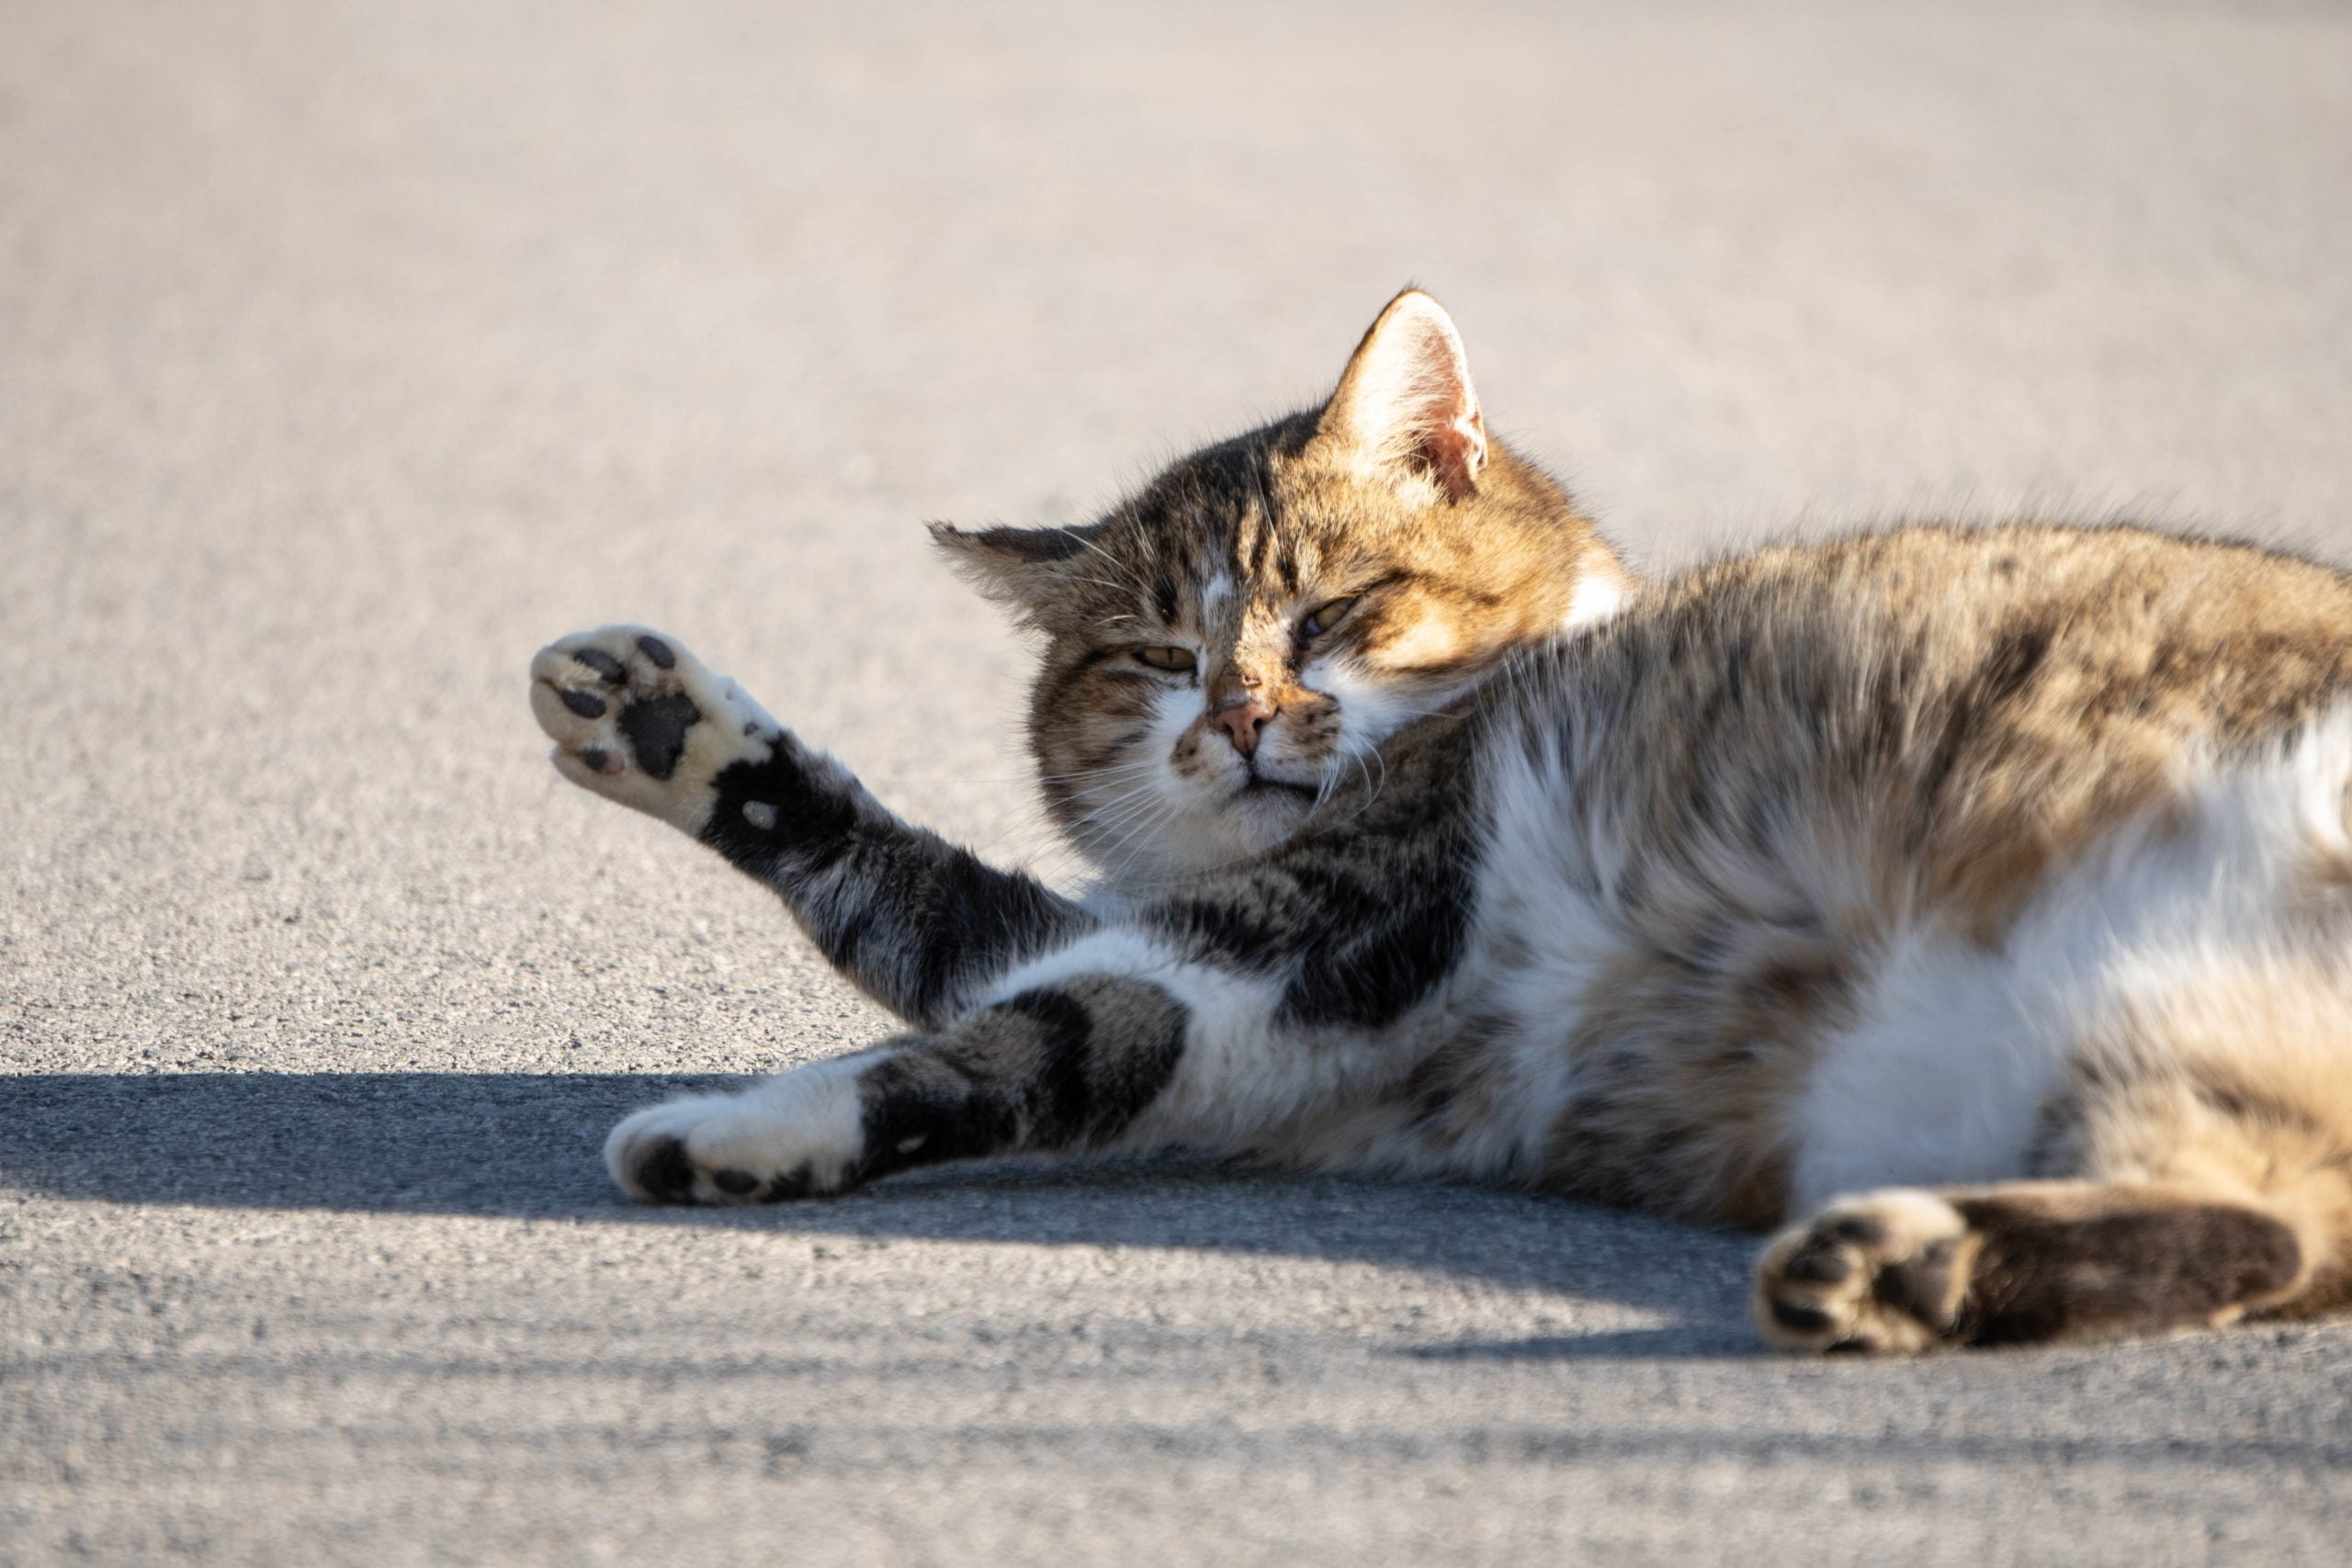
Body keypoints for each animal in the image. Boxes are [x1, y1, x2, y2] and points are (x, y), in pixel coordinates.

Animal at [534, 291, 2352, 1354]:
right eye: (1157, 659)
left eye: (1333, 610)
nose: (1240, 717)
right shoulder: (1258, 998)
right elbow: (946, 931)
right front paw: (668, 728)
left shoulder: (1320, 925)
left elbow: (996, 1032)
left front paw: (726, 1124)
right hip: (2170, 1056)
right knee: (2264, 1227)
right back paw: (1910, 1266)